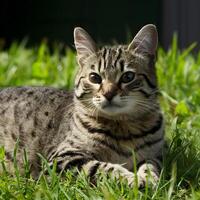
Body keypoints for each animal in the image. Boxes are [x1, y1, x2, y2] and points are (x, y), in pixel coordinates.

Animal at [0, 24, 164, 188]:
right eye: (94, 77)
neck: (123, 128)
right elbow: (103, 168)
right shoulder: (61, 158)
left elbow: (151, 167)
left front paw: (149, 179)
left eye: (128, 77)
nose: (108, 94)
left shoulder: (156, 154)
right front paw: (132, 179)